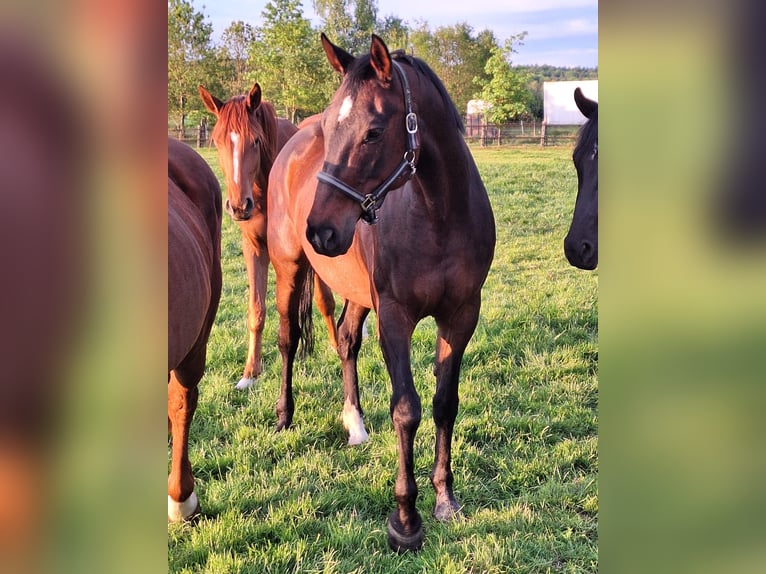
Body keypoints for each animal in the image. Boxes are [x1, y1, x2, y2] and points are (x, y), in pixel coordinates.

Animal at [198, 83, 339, 390]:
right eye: (217, 141)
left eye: (255, 141)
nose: (239, 206)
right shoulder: (254, 248)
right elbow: (257, 311)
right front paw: (250, 372)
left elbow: (324, 300)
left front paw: (337, 347)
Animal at [267, 34, 496, 551]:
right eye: (330, 126)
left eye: (372, 132)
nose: (321, 231)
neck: (438, 216)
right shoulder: (395, 317)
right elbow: (406, 410)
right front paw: (406, 520)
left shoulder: (460, 316)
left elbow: (444, 403)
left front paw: (444, 498)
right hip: (288, 269)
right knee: (288, 339)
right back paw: (285, 416)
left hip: (356, 292)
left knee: (346, 339)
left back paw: (354, 423)